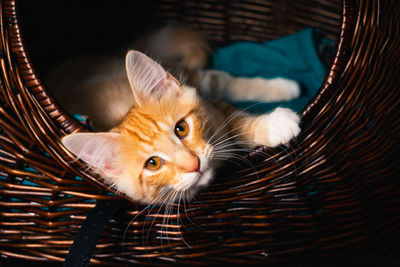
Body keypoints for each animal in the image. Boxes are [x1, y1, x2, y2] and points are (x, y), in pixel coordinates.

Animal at [62, 50, 300, 205]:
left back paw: (287, 86)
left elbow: (237, 121)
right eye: (153, 163)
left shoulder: (214, 108)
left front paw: (275, 124)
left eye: (181, 129)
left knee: (219, 80)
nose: (194, 165)